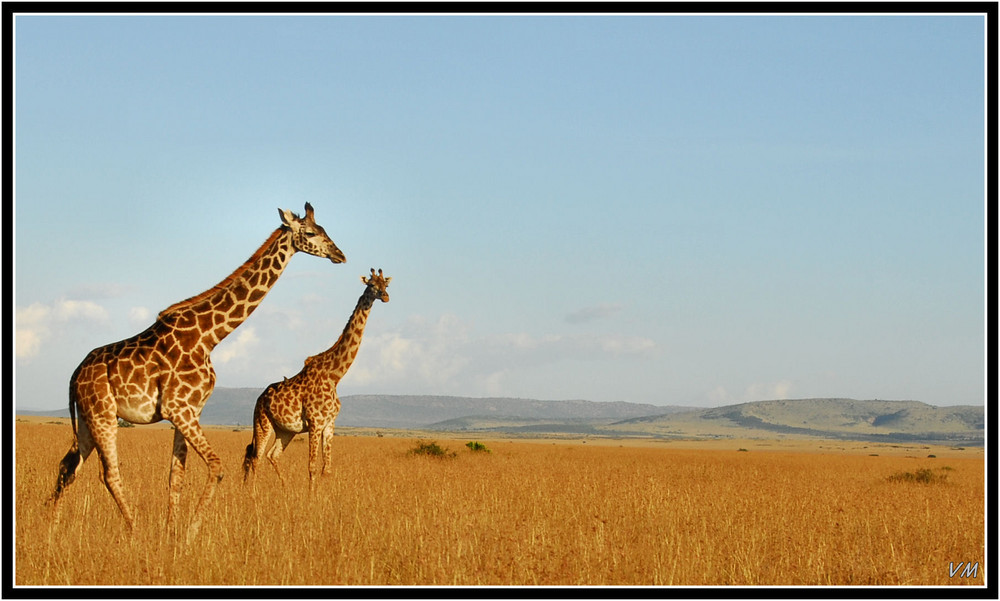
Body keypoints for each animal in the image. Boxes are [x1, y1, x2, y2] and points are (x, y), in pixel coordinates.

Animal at [48, 203, 346, 540]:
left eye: (324, 229)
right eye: (310, 233)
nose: (339, 254)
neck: (208, 337)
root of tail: (74, 376)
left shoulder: (188, 412)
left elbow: (176, 475)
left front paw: (172, 532)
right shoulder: (179, 409)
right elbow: (216, 467)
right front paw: (190, 532)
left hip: (88, 419)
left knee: (68, 466)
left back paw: (51, 530)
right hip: (102, 415)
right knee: (108, 473)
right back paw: (134, 531)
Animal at [242, 268, 390, 488]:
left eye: (386, 285)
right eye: (371, 285)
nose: (386, 296)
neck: (335, 375)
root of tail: (259, 398)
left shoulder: (329, 424)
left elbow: (325, 469)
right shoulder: (315, 422)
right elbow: (311, 467)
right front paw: (311, 496)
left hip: (286, 430)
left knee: (272, 455)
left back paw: (285, 488)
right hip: (262, 422)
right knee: (255, 458)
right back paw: (252, 493)